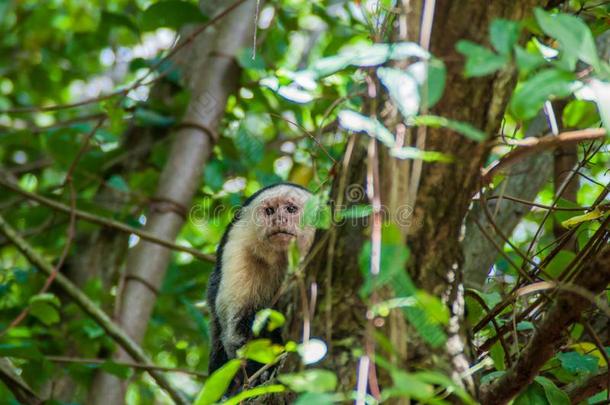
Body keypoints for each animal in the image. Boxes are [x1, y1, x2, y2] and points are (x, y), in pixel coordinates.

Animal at [207, 183, 316, 382]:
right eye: (270, 211)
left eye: (291, 209)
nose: (279, 219)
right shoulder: (238, 246)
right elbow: (239, 326)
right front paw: (259, 372)